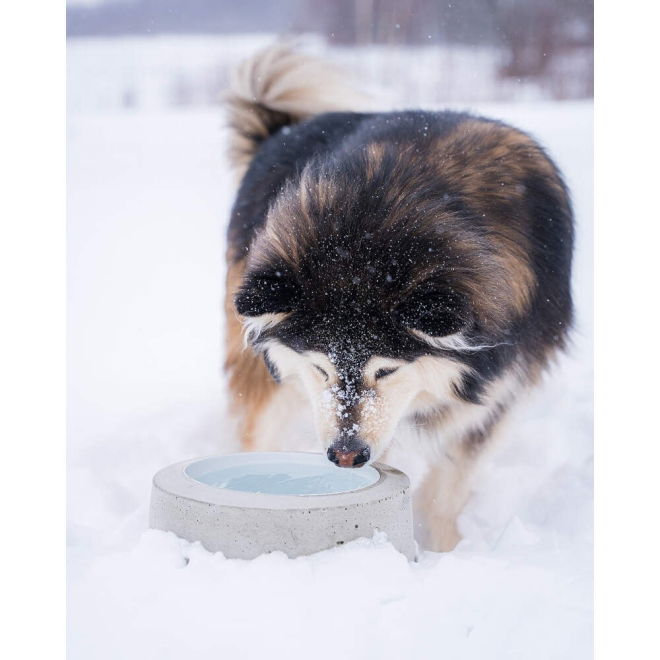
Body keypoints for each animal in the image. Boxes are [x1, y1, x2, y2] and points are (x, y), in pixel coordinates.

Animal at [222, 46, 572, 552]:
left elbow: (447, 489)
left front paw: (444, 552)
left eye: (386, 370)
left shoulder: (501, 389)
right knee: (255, 431)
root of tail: (282, 129)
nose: (345, 456)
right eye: (320, 368)